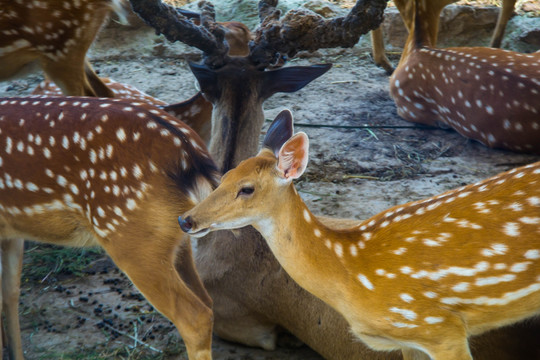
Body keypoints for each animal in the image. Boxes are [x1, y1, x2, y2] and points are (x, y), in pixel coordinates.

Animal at [180, 109, 540, 360]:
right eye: (225, 175)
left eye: (247, 189)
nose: (186, 219)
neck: (353, 274)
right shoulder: (409, 338)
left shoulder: (440, 327)